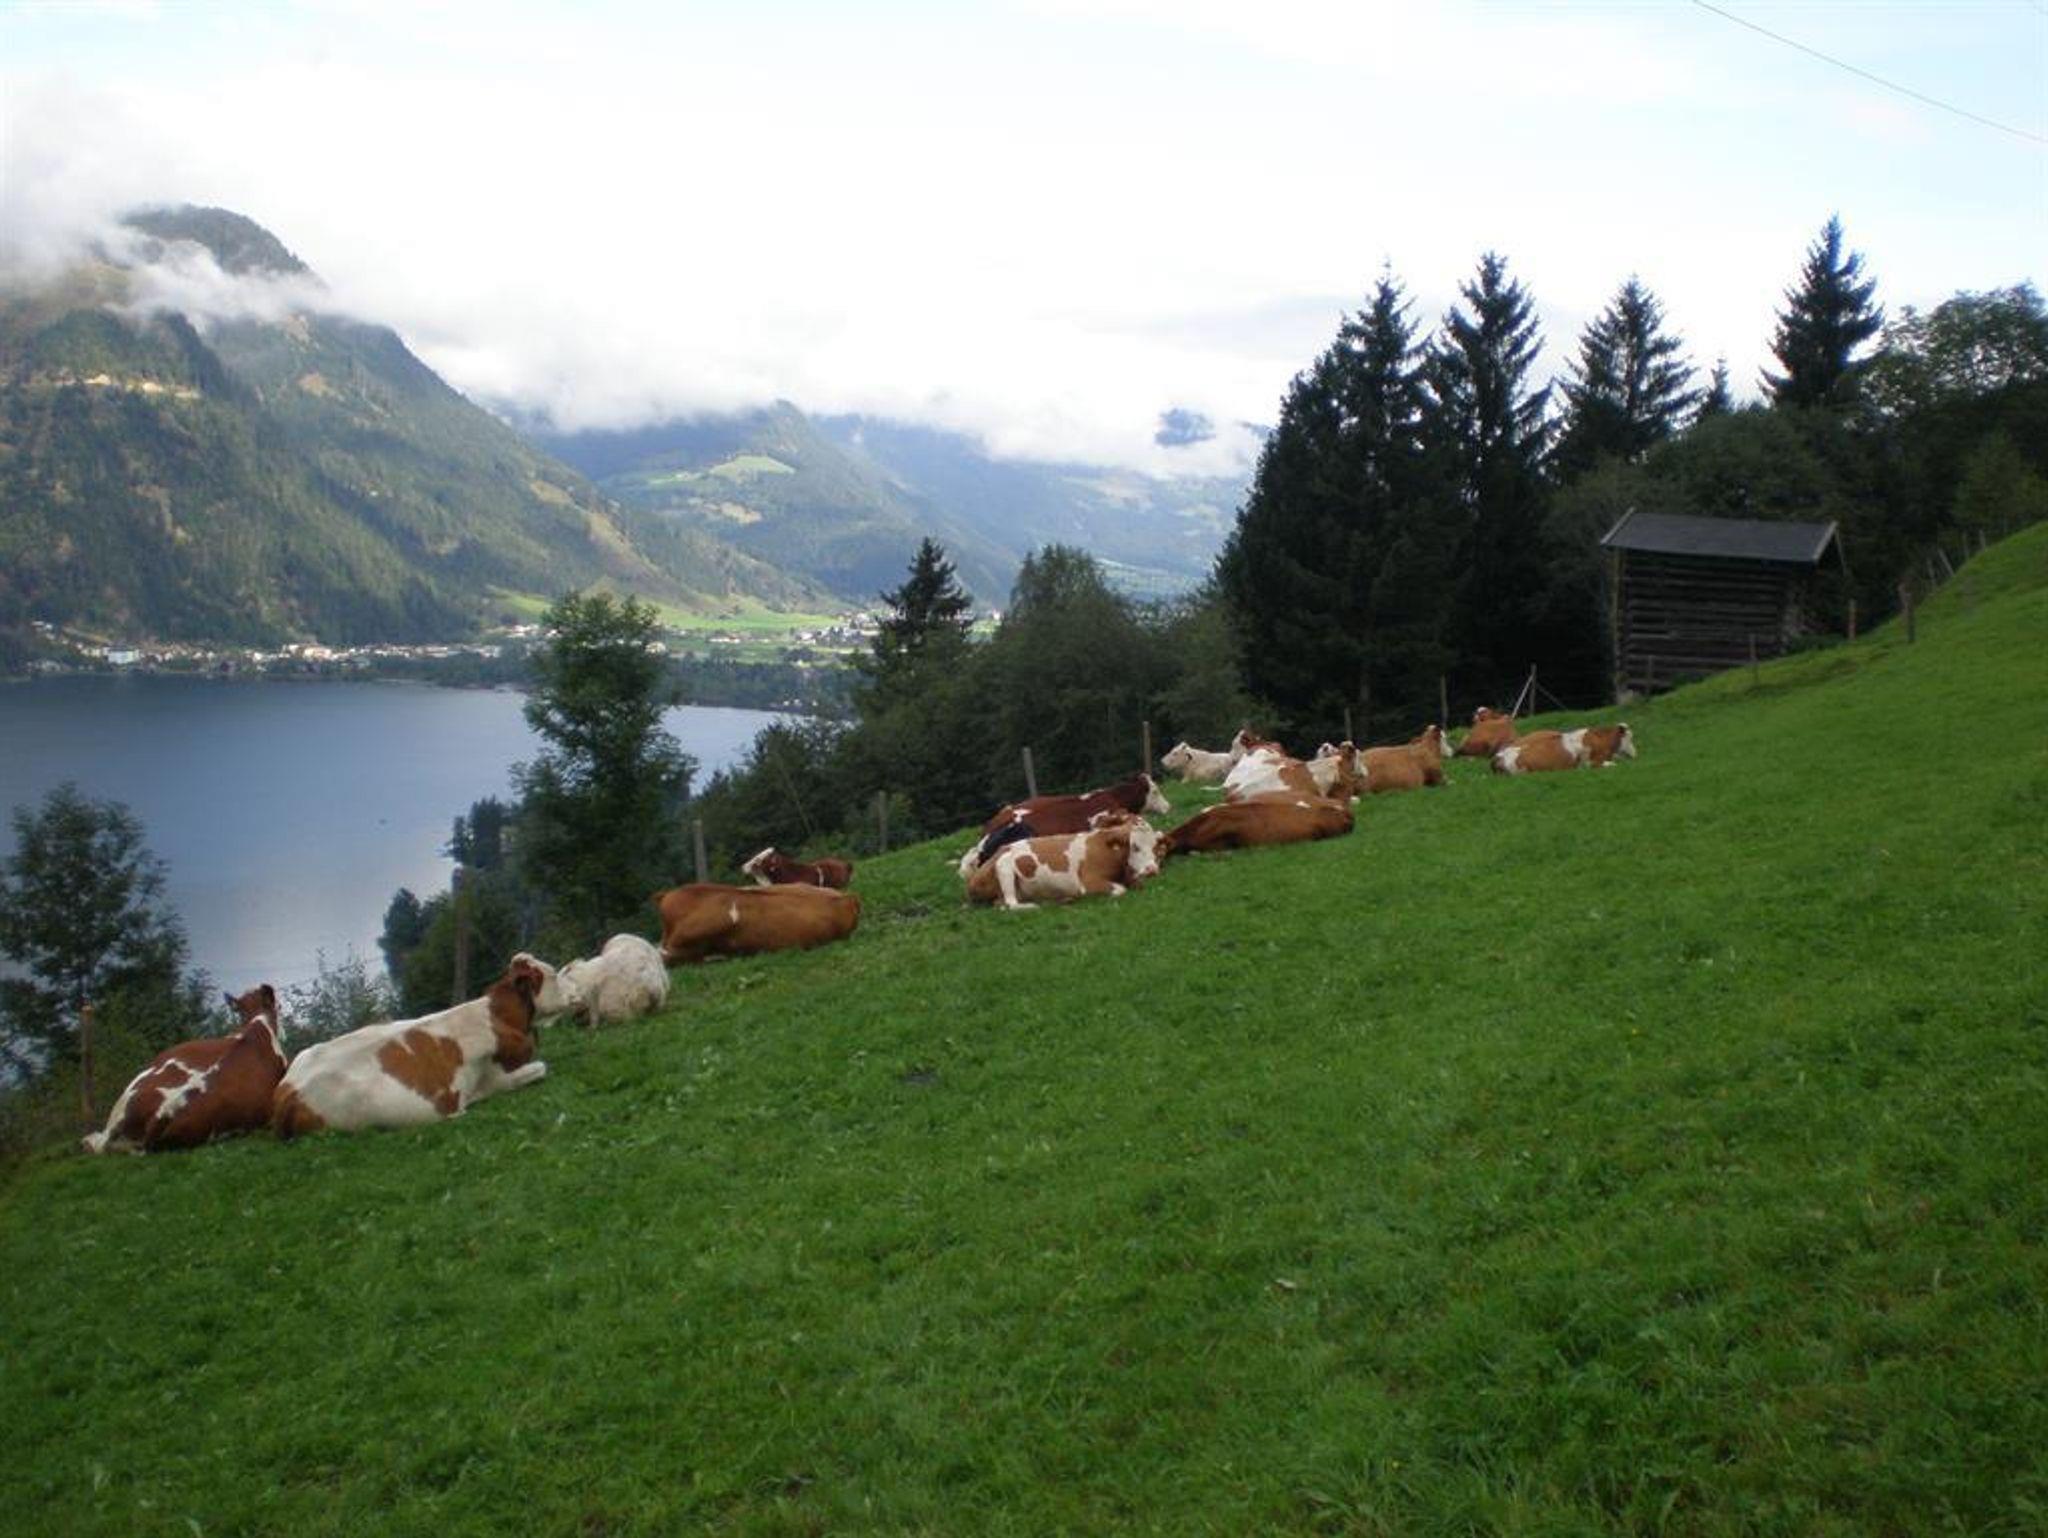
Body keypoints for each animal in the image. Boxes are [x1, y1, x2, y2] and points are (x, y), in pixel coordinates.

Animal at [964, 817, 1164, 910]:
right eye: (1135, 846)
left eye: (1154, 846)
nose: (1152, 870)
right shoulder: (1088, 882)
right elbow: (1120, 890)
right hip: (1004, 867)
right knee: (1009, 904)